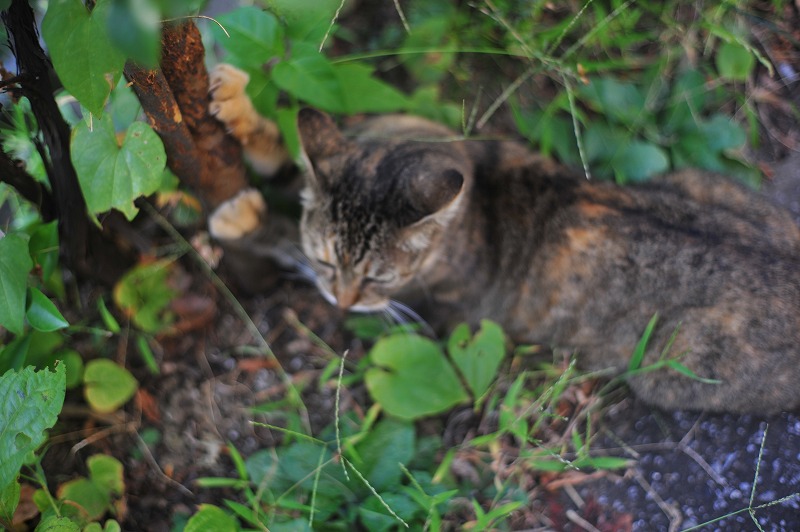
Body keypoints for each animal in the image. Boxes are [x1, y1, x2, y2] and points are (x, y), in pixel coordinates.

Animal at [208, 63, 800, 416]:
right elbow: (287, 153)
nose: (341, 300)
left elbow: (289, 238)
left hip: (672, 368)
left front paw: (247, 219)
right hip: (700, 179)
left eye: (378, 277)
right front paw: (239, 104)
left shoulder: (425, 304)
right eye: (331, 261)